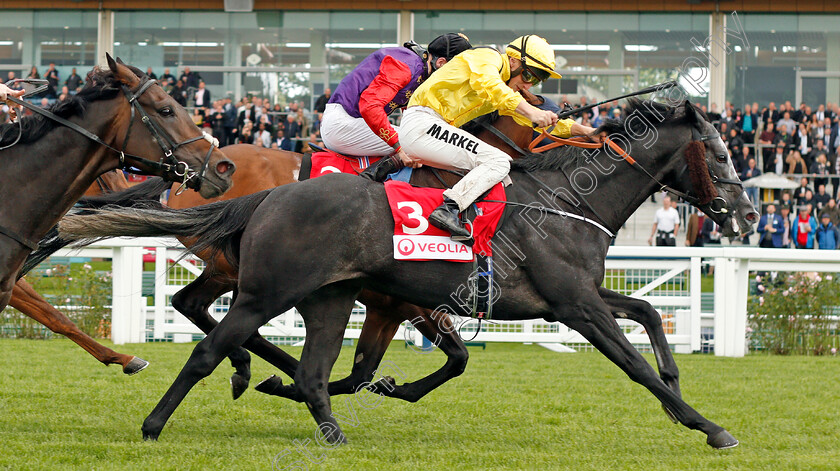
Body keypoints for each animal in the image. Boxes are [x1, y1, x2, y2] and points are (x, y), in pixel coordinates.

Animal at [57, 100, 756, 450]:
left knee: (308, 368)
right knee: (210, 344)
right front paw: (708, 426)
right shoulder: (572, 306)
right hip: (265, 290)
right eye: (722, 154)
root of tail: (267, 195)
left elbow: (646, 313)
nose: (747, 214)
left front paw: (677, 383)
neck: (562, 198)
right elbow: (632, 363)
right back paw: (159, 423)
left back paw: (327, 429)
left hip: (329, 298)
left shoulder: (574, 295)